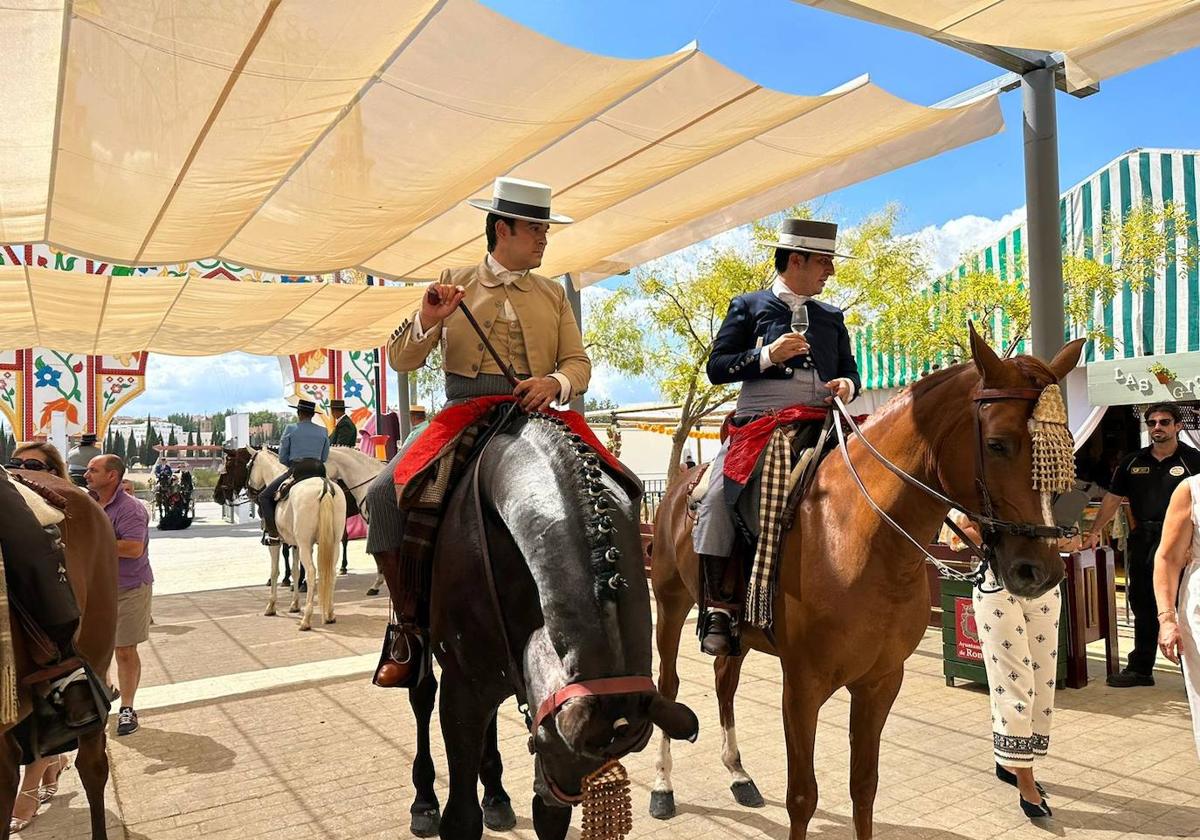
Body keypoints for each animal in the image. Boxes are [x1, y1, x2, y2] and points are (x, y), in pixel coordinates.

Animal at [238, 448, 343, 628]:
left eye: (248, 465)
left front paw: (271, 606)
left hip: (306, 544)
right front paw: (294, 605)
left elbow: (274, 571)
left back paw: (306, 619)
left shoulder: (275, 544)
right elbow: (295, 571)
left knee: (311, 572)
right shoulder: (296, 545)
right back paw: (330, 614)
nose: (250, 492)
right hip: (333, 543)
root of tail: (325, 487)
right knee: (331, 572)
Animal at [652, 328, 1084, 840]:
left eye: (1065, 448)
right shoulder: (802, 685)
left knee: (724, 680)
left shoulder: (880, 681)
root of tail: (680, 484)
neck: (860, 535)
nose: (1041, 571)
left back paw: (739, 775)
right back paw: (662, 787)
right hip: (670, 604)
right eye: (998, 444)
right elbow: (803, 796)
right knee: (669, 683)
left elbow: (864, 787)